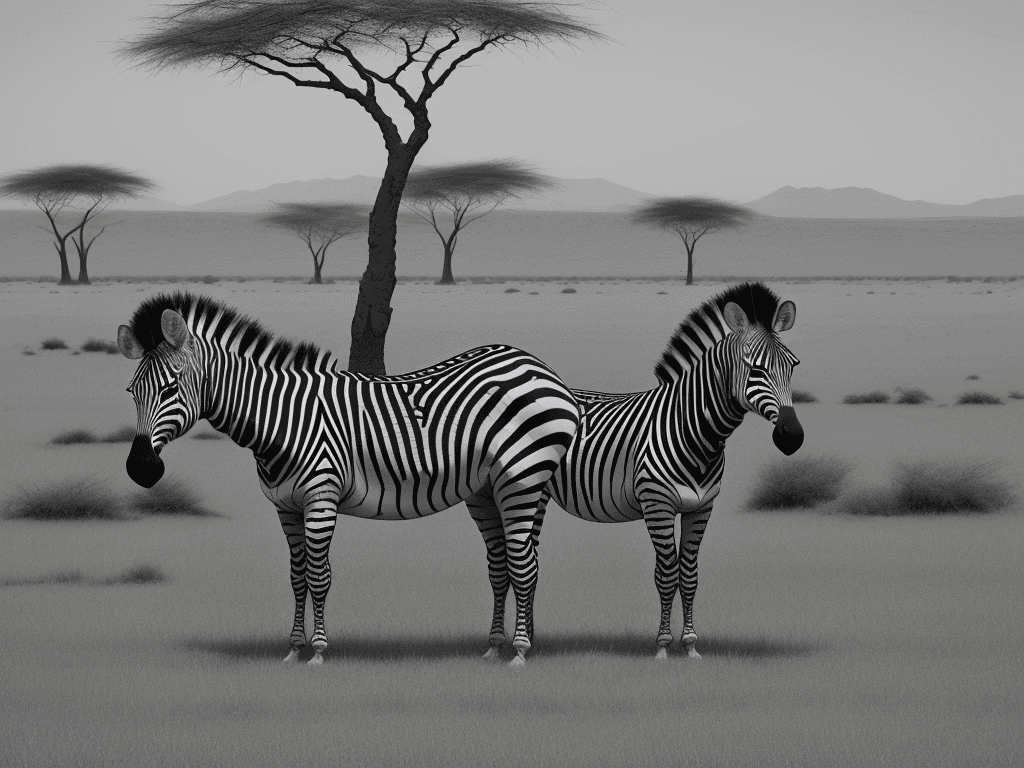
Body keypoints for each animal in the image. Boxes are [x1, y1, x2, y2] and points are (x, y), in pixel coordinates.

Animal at [116, 292, 580, 666]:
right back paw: (495, 647)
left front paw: (319, 652)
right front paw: (293, 649)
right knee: (501, 566)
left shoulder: (320, 497)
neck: (281, 419)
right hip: (486, 490)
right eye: (132, 391)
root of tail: (540, 367)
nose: (141, 469)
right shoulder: (286, 506)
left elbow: (319, 576)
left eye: (171, 388)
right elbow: (297, 577)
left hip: (521, 479)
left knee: (524, 566)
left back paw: (520, 652)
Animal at [473, 282, 804, 660]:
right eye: (756, 370)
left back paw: (528, 639)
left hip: (535, 493)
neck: (691, 430)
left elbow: (689, 575)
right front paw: (662, 646)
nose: (792, 437)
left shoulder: (701, 508)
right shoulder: (657, 504)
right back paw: (501, 646)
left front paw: (691, 645)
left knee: (528, 560)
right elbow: (666, 574)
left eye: (793, 366)